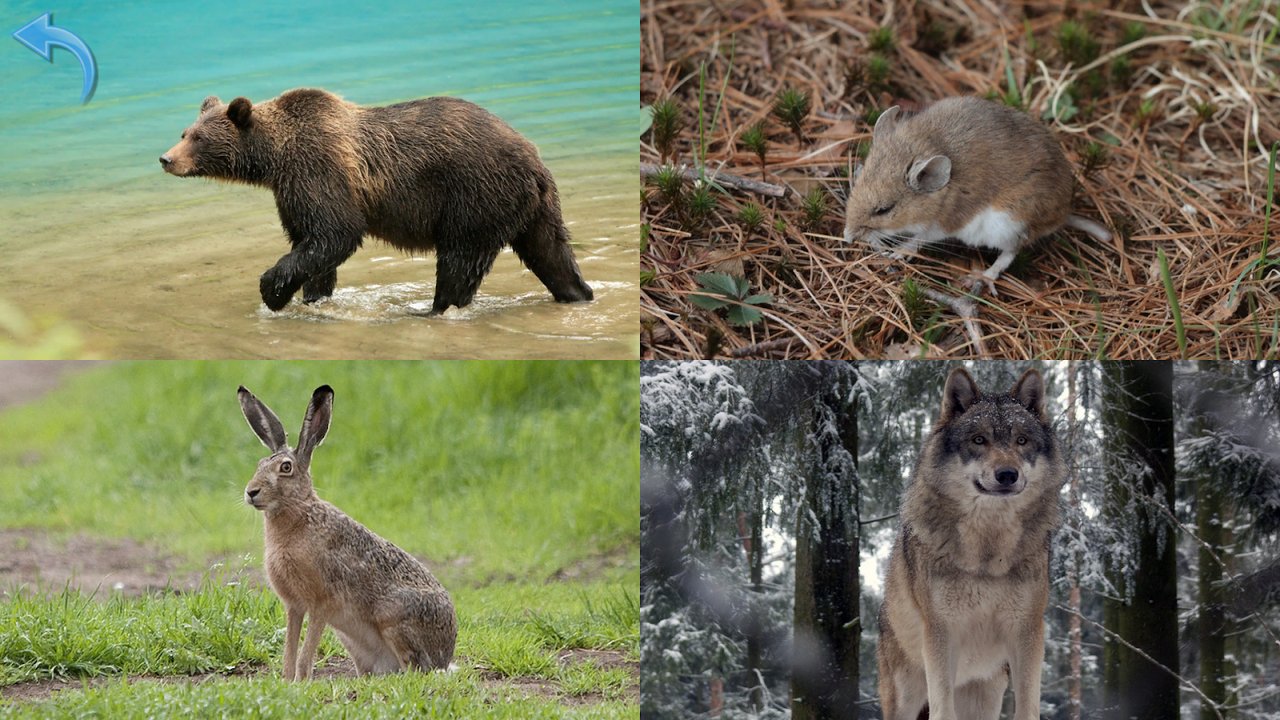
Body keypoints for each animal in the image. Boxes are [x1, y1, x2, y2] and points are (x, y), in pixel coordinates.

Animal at [159, 88, 593, 314]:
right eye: (184, 132)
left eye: (198, 138)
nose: (166, 158)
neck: (274, 159)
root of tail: (535, 161)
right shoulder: (293, 190)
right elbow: (312, 243)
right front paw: (313, 296)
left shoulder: (318, 170)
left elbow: (336, 233)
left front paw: (272, 291)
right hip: (533, 209)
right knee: (551, 253)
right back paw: (578, 292)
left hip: (475, 197)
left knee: (459, 263)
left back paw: (433, 308)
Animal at [238, 384, 457, 680]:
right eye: (260, 464)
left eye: (286, 468)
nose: (251, 492)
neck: (299, 511)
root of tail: (446, 655)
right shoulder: (294, 606)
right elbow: (290, 650)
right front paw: (286, 680)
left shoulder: (321, 602)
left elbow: (306, 652)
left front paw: (301, 681)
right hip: (352, 640)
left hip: (394, 619)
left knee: (414, 668)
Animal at [878, 367, 1063, 720]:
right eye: (979, 440)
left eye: (1021, 441)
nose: (1007, 474)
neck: (988, 552)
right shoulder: (940, 632)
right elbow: (942, 709)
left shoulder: (1028, 631)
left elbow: (1028, 707)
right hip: (905, 696)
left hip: (986, 696)